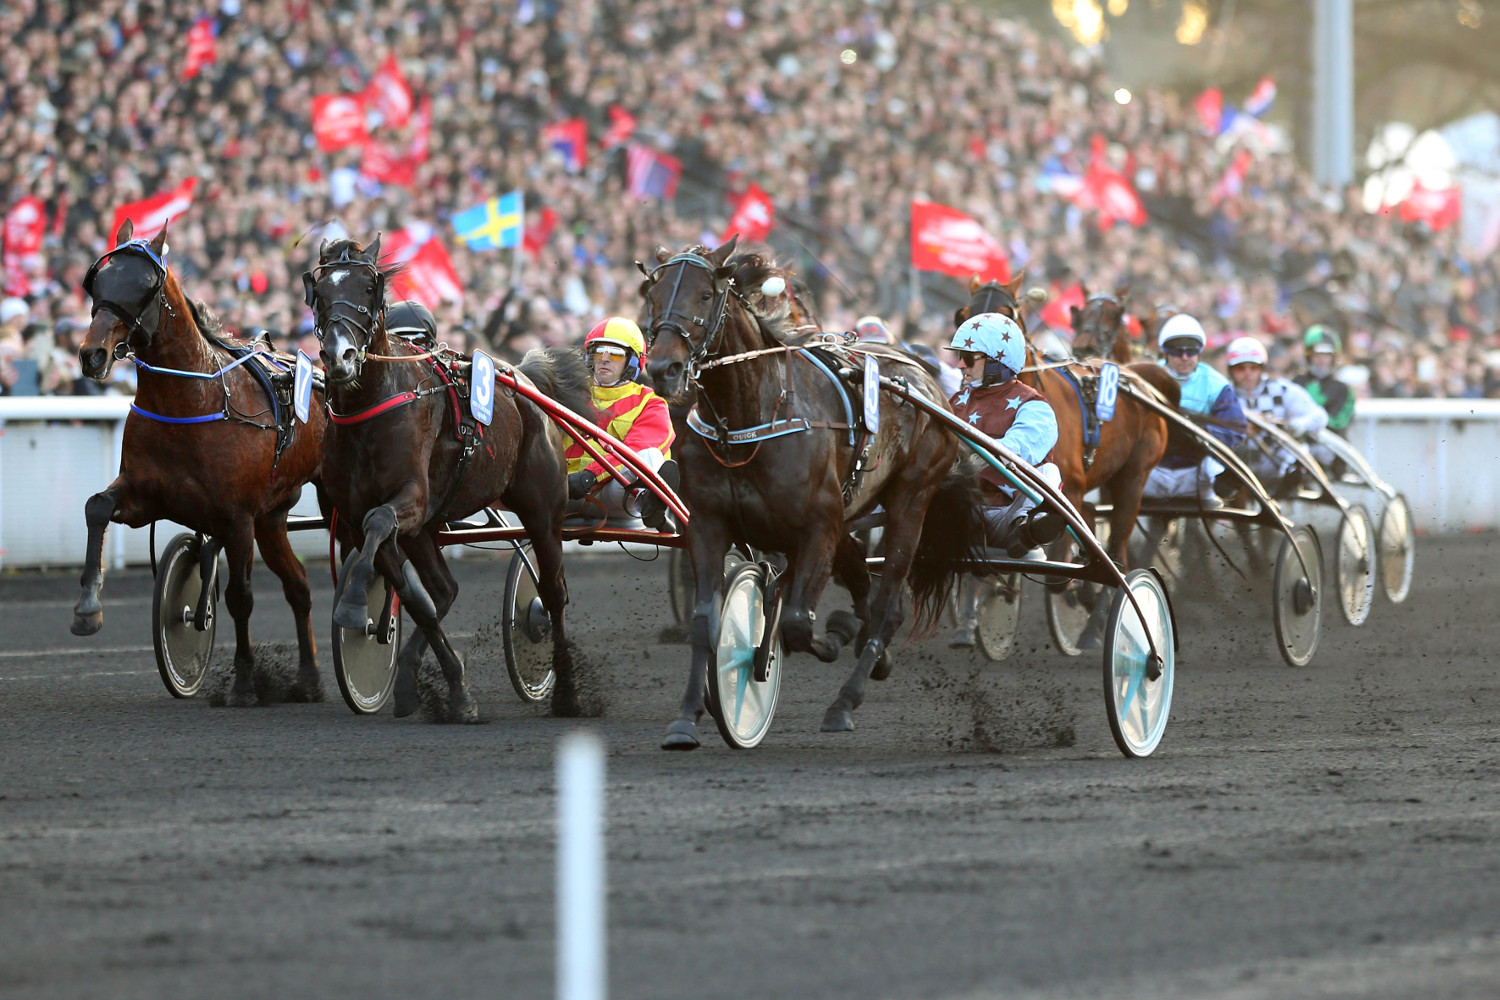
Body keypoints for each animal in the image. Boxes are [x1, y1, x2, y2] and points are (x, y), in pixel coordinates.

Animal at [72, 220, 325, 704]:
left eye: (145, 285)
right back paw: (308, 679)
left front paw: (244, 684)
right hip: (273, 516)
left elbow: (240, 597)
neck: (192, 399)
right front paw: (87, 609)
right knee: (300, 586)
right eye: (99, 280)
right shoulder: (146, 496)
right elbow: (96, 507)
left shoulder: (237, 516)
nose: (92, 354)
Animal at [642, 238, 984, 746]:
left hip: (911, 499)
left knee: (887, 603)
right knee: (863, 583)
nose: (664, 367)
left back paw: (846, 696)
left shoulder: (817, 527)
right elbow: (706, 621)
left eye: (705, 294)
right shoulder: (709, 524)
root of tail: (925, 381)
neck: (749, 418)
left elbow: (796, 625)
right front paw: (686, 717)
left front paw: (785, 651)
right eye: (653, 293)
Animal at [954, 274, 1176, 569]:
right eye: (963, 314)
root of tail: (1136, 377)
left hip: (1133, 478)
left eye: (1005, 313)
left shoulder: (1070, 491)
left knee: (1118, 545)